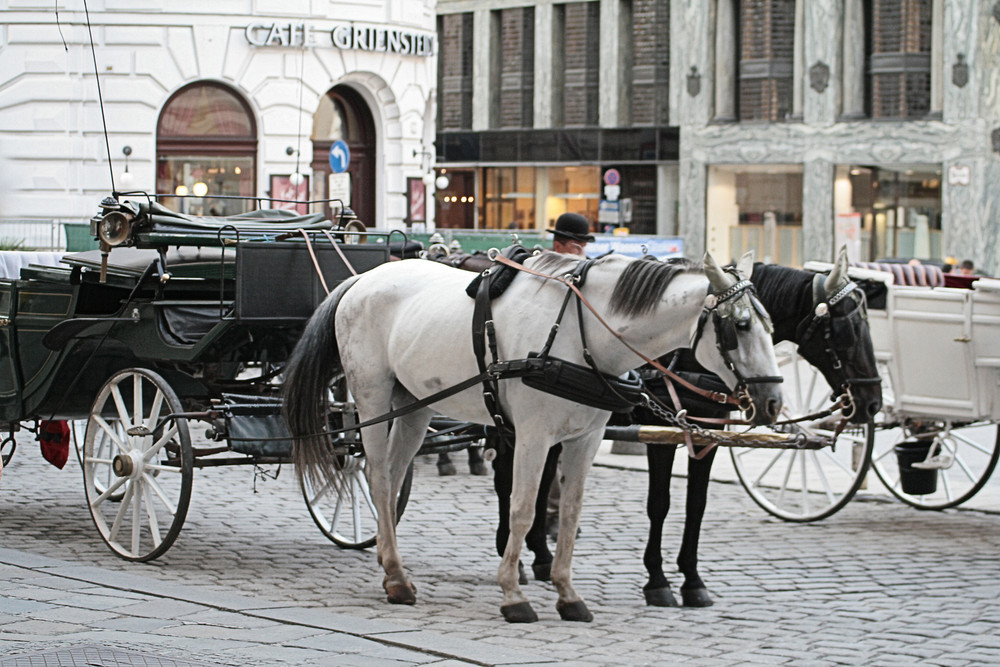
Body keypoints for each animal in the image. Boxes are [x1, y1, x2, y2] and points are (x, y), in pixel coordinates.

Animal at [282, 248, 780, 624]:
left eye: (771, 325)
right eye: (738, 327)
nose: (774, 401)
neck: (582, 334)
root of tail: (360, 279)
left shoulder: (584, 439)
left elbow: (571, 514)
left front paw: (567, 594)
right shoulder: (533, 436)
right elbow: (523, 509)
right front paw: (513, 594)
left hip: (415, 405)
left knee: (389, 480)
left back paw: (394, 573)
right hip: (371, 397)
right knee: (378, 478)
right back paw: (397, 577)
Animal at [492, 249, 884, 604]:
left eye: (769, 325)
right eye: (849, 329)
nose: (873, 403)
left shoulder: (707, 435)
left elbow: (697, 505)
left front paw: (693, 581)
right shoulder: (658, 435)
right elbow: (660, 504)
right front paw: (658, 580)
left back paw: (539, 558)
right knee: (509, 482)